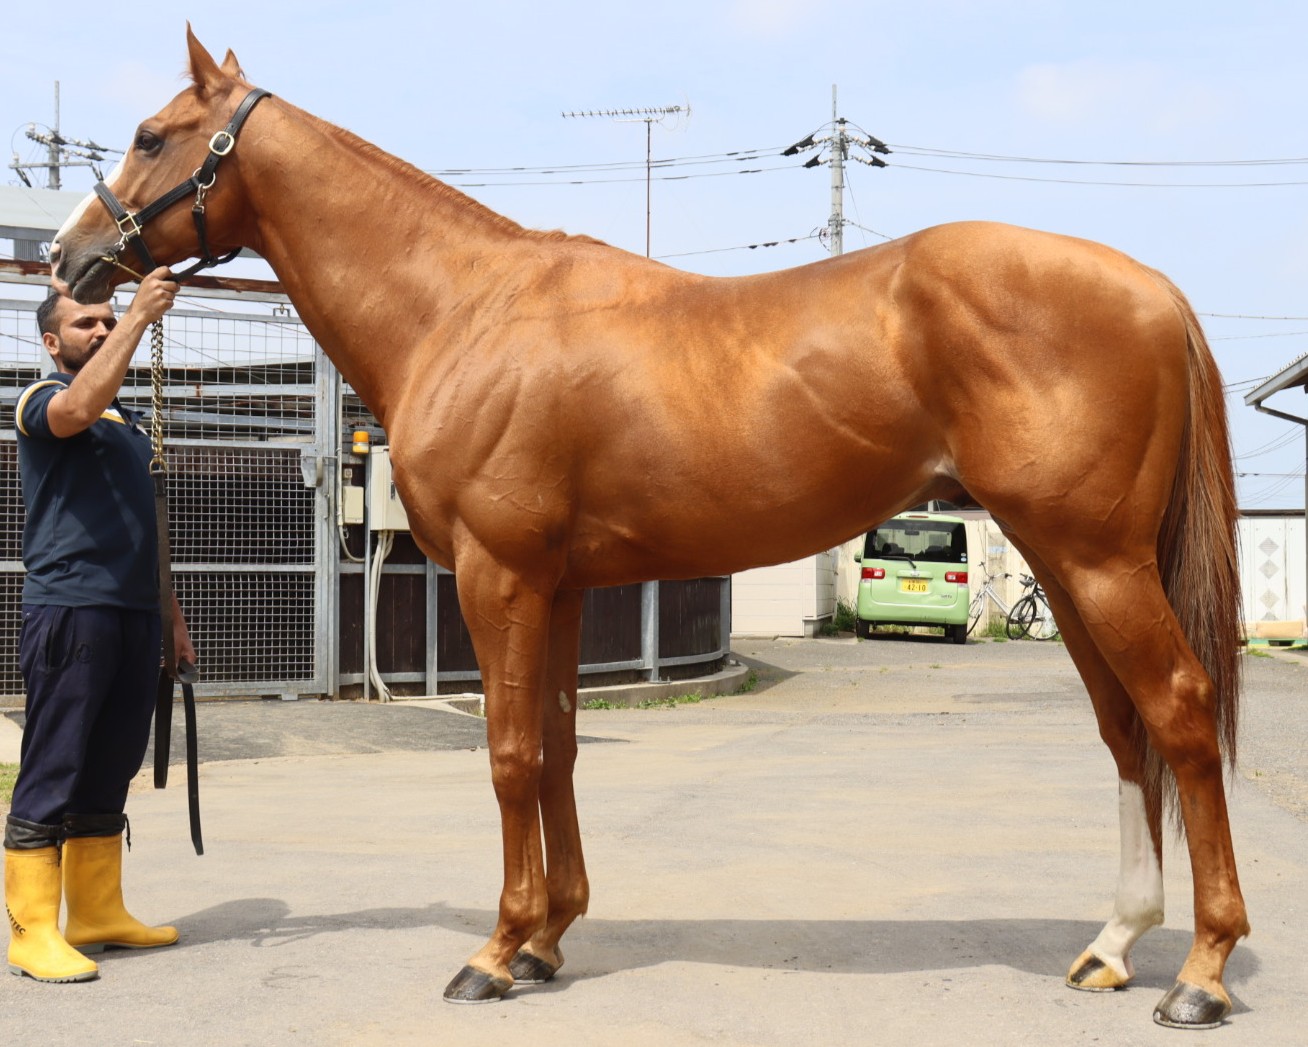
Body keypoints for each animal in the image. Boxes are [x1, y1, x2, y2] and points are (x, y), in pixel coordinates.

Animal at [50, 29, 1248, 1030]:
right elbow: (560, 749)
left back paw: (1200, 973)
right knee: (1124, 728)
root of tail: (1154, 289)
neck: (464, 308)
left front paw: (494, 953)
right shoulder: (563, 586)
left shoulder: (498, 577)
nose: (65, 263)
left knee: (1180, 712)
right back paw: (1112, 944)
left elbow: (510, 755)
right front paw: (547, 938)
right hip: (1069, 561)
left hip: (1096, 562)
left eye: (152, 135)